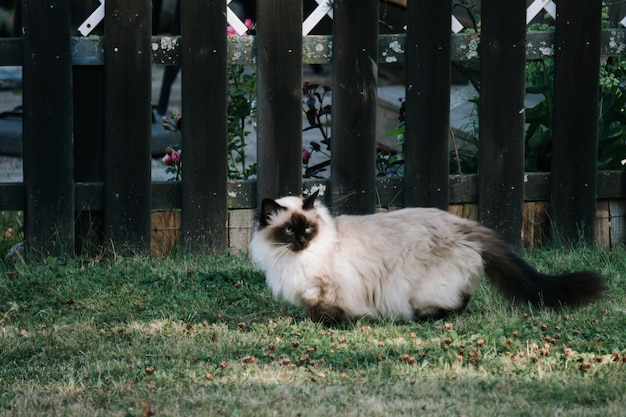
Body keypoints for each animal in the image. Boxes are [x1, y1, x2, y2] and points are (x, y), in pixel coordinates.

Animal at [249, 190, 604, 324]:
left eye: (307, 230)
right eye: (288, 231)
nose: (300, 242)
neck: (292, 259)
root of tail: (467, 225)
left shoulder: (326, 289)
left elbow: (322, 312)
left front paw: (317, 323)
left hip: (422, 287)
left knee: (456, 302)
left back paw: (422, 318)